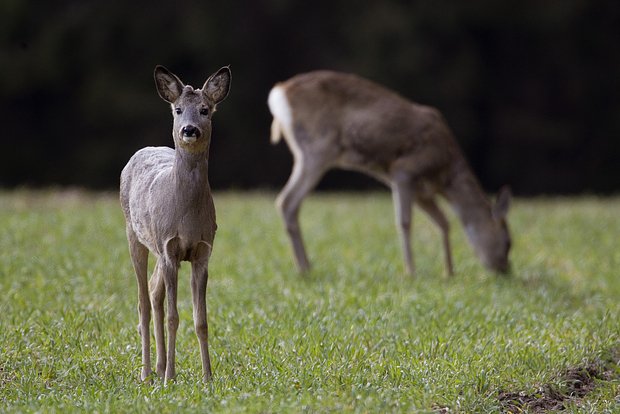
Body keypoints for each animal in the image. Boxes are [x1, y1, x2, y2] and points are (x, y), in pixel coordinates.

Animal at [119, 63, 230, 384]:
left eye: (205, 109)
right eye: (178, 109)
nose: (189, 129)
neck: (187, 215)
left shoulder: (202, 251)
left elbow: (200, 320)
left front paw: (207, 377)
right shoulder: (170, 249)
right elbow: (173, 316)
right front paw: (171, 377)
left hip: (157, 246)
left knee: (154, 292)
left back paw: (158, 366)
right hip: (135, 235)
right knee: (143, 302)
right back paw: (147, 372)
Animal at [268, 70, 512, 278]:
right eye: (509, 242)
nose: (505, 270)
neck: (445, 174)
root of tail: (279, 92)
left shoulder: (422, 192)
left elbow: (443, 222)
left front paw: (449, 272)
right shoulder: (405, 170)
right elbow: (404, 222)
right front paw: (411, 272)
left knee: (289, 203)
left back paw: (305, 267)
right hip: (317, 147)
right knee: (287, 201)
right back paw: (305, 268)